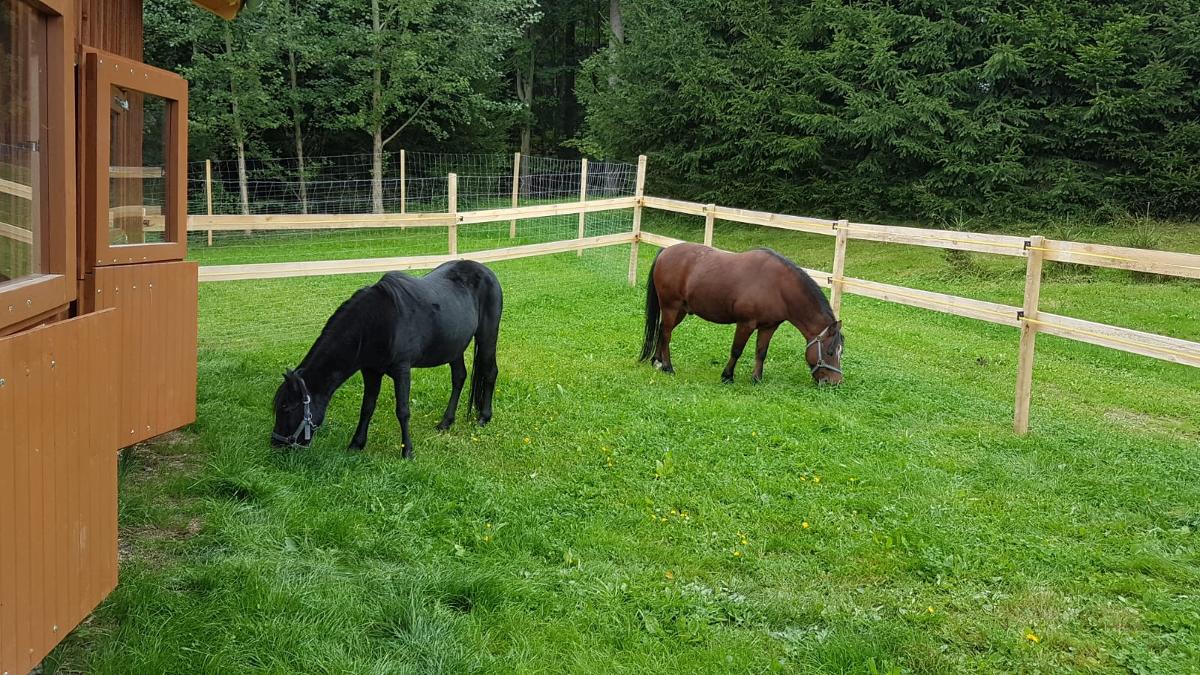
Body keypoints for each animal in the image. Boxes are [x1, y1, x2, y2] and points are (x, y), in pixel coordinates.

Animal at [272, 258, 501, 456]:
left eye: (286, 407)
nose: (276, 443)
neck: (375, 323)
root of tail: (487, 272)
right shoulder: (371, 371)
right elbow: (367, 408)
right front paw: (356, 444)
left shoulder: (402, 370)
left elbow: (403, 411)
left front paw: (407, 451)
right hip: (454, 347)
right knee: (459, 377)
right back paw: (446, 422)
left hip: (487, 337)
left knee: (490, 372)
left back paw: (483, 418)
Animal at [638, 243, 844, 384]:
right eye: (830, 351)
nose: (835, 382)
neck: (778, 286)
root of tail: (665, 251)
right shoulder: (746, 323)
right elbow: (736, 350)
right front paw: (727, 376)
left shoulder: (769, 327)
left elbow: (761, 352)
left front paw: (757, 378)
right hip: (671, 307)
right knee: (666, 334)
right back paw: (667, 367)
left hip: (679, 310)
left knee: (662, 330)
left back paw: (657, 361)